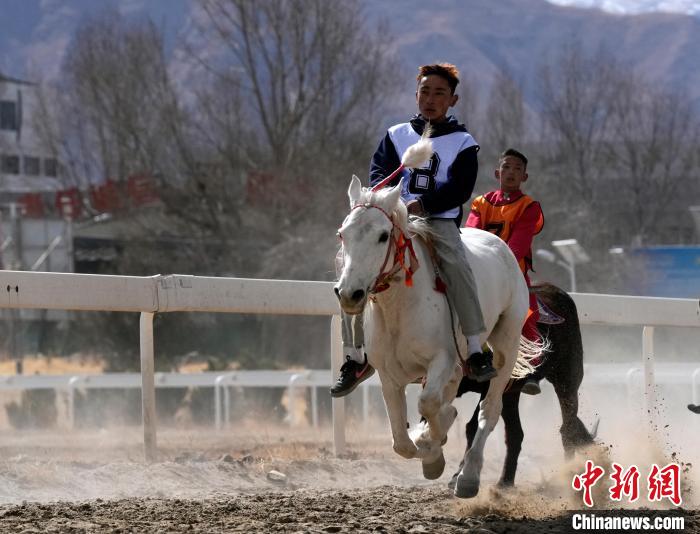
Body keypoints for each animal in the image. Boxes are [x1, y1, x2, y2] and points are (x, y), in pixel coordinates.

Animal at [334, 175, 545, 498]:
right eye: (343, 234)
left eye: (383, 236)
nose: (349, 293)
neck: (401, 306)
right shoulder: (389, 376)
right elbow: (401, 442)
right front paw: (430, 453)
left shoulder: (442, 361)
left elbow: (429, 403)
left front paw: (435, 440)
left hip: (505, 348)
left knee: (489, 411)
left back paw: (468, 478)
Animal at [450, 282, 597, 488]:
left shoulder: (494, 387)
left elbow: (474, 425)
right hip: (513, 393)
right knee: (517, 433)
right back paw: (505, 480)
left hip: (567, 379)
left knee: (567, 427)